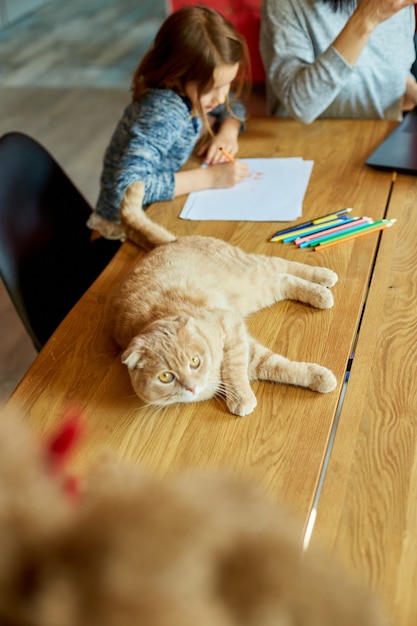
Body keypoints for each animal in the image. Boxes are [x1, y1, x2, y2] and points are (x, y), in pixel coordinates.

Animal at [109, 180, 336, 414]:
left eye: (195, 362)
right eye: (165, 377)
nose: (191, 387)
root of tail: (170, 242)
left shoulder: (230, 326)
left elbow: (234, 368)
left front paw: (240, 396)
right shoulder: (249, 352)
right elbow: (278, 366)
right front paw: (318, 377)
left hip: (249, 272)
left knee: (282, 265)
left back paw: (323, 279)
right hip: (255, 290)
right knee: (283, 280)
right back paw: (321, 292)